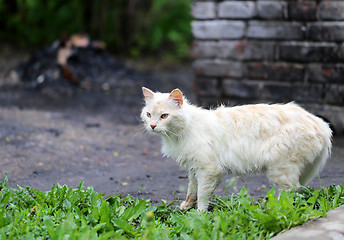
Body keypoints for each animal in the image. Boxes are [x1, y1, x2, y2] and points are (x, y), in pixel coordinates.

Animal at [140, 86, 330, 210]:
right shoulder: (194, 168)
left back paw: (274, 207)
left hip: (280, 168)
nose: (152, 126)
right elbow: (191, 190)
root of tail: (322, 124)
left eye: (164, 116)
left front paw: (200, 215)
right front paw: (187, 207)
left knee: (291, 190)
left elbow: (202, 195)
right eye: (149, 114)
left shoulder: (209, 169)